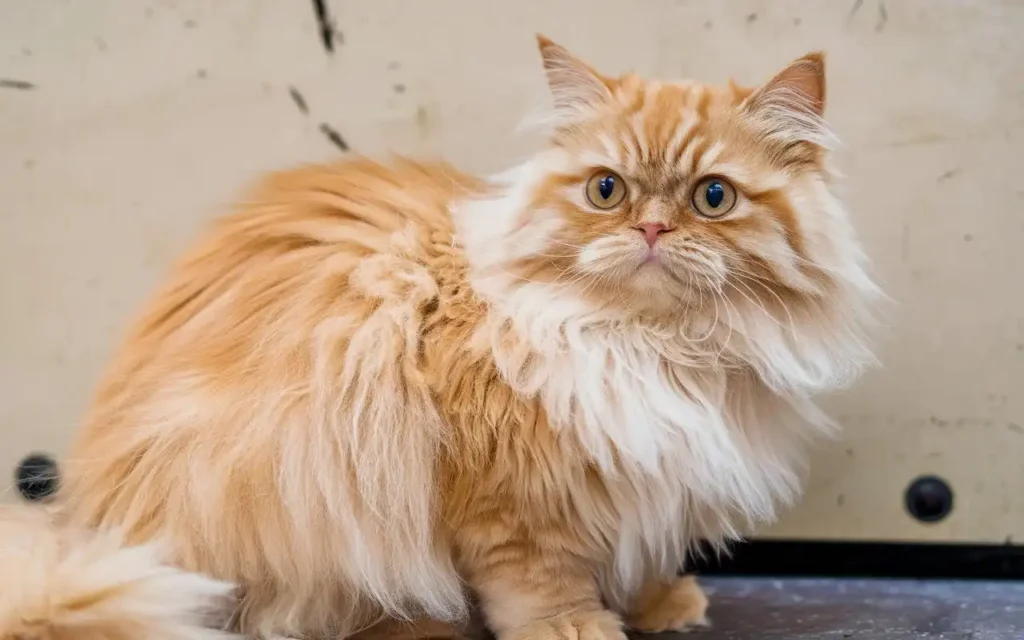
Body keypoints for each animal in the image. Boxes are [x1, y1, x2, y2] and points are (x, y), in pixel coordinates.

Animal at [2, 33, 880, 638]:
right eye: (606, 191)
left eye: (713, 197)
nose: (654, 229)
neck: (654, 347)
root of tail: (89, 525)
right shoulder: (505, 495)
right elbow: (536, 578)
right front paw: (575, 625)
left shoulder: (651, 475)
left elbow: (643, 553)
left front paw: (659, 602)